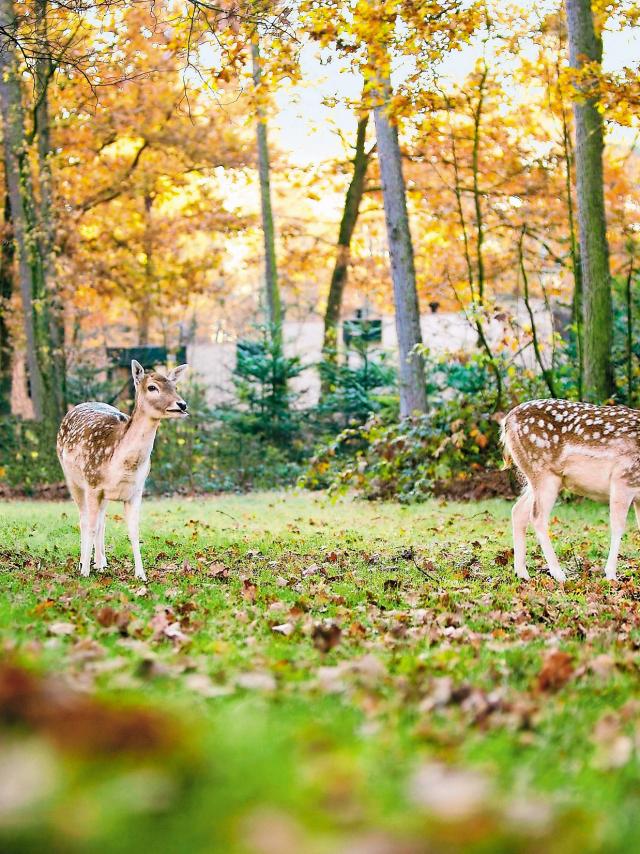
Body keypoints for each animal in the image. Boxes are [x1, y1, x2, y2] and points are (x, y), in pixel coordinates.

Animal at [57, 362, 189, 580]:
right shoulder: (92, 484)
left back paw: (101, 563)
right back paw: (84, 563)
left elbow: (134, 531)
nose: (182, 405)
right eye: (152, 387)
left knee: (101, 521)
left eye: (175, 387)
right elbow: (89, 525)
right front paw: (84, 572)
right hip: (72, 479)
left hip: (104, 495)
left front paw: (141, 574)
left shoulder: (136, 490)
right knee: (84, 519)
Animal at [502, 400, 640, 584]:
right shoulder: (623, 479)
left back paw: (522, 573)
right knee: (537, 517)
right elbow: (618, 526)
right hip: (543, 473)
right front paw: (611, 575)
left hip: (543, 479)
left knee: (518, 510)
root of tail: (507, 421)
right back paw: (559, 574)